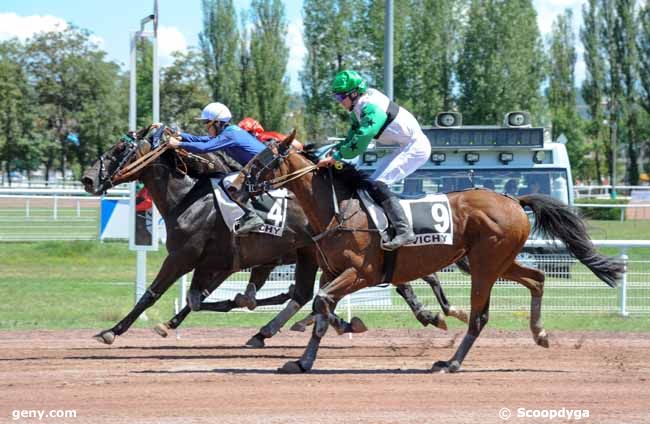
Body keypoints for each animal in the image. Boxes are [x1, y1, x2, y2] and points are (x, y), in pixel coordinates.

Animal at [81, 129, 464, 348]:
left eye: (117, 150)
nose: (87, 178)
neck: (189, 198)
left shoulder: (184, 256)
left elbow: (152, 294)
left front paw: (112, 330)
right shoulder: (217, 262)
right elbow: (198, 300)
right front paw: (171, 323)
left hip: (317, 256)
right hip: (313, 256)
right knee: (310, 293)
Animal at [229, 131, 624, 372]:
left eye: (259, 161)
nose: (233, 188)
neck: (340, 209)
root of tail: (513, 199)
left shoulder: (361, 273)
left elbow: (321, 302)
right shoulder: (332, 271)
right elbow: (321, 308)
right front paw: (303, 360)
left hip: (485, 264)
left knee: (480, 316)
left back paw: (451, 362)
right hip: (496, 262)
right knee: (538, 278)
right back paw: (539, 333)